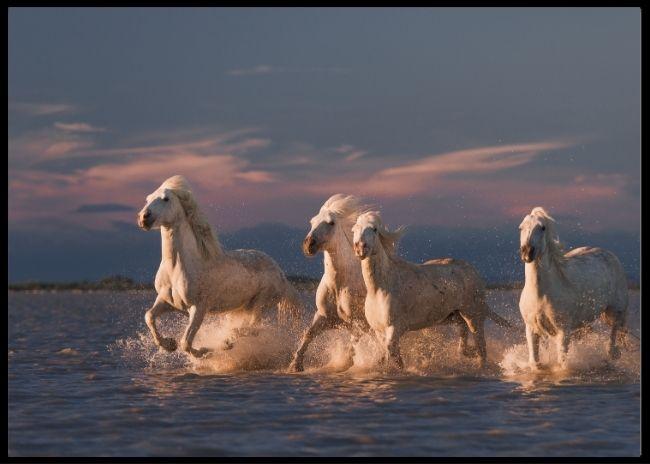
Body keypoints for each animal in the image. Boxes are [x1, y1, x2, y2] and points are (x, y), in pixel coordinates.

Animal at [137, 175, 303, 358]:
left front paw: (204, 351)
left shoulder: (198, 308)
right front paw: (168, 344)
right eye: (148, 199)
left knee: (254, 328)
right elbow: (149, 316)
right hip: (243, 307)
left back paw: (227, 341)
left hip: (261, 303)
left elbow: (186, 343)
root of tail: (281, 273)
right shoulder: (166, 301)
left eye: (166, 199)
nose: (144, 217)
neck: (177, 268)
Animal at [288, 194, 369, 372]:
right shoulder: (324, 317)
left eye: (331, 222)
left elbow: (354, 344)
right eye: (312, 221)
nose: (308, 244)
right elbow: (308, 334)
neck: (339, 285)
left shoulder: (359, 322)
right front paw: (295, 365)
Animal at [352, 211, 511, 369]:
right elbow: (387, 353)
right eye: (354, 229)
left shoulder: (395, 327)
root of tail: (474, 272)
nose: (360, 248)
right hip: (454, 316)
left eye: (374, 229)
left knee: (481, 347)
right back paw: (467, 353)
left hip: (473, 315)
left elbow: (392, 353)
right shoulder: (379, 331)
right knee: (464, 338)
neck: (380, 288)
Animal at [518, 207, 630, 371]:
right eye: (521, 227)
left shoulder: (563, 331)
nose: (527, 253)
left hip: (615, 310)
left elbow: (562, 363)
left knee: (614, 330)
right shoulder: (531, 329)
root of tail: (610, 254)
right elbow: (535, 362)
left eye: (542, 228)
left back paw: (611, 354)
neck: (541, 294)